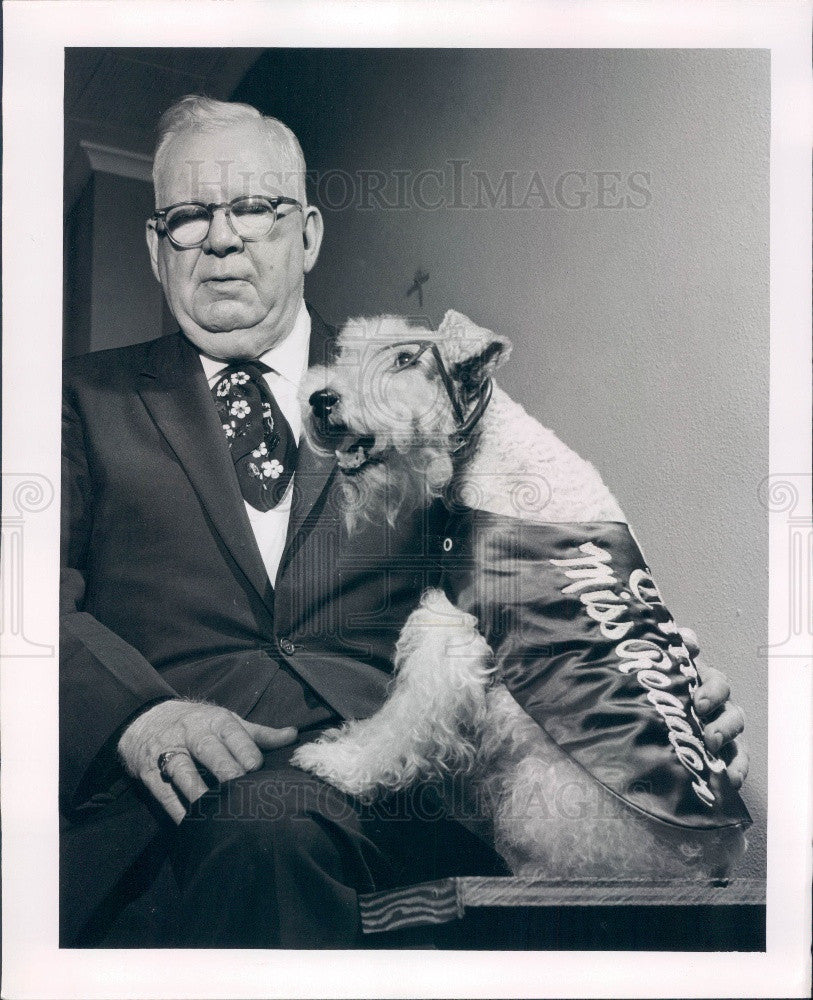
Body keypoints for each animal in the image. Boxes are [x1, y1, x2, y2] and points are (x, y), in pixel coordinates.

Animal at [292, 310, 748, 876]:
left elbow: (400, 723)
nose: (319, 399)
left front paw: (337, 763)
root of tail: (713, 859)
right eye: (345, 348)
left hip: (543, 794)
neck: (498, 452)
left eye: (405, 358)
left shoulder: (451, 631)